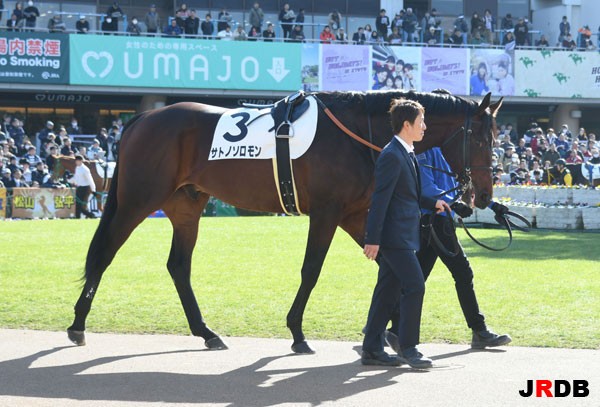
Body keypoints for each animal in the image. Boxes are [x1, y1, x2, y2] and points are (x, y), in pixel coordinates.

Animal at [65, 90, 502, 354]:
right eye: (483, 139)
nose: (482, 195)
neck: (358, 134)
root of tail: (141, 120)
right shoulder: (327, 212)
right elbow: (312, 270)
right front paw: (297, 333)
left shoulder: (356, 213)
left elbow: (390, 266)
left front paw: (389, 330)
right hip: (138, 202)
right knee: (104, 254)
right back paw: (78, 324)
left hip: (186, 206)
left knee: (178, 266)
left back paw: (206, 332)